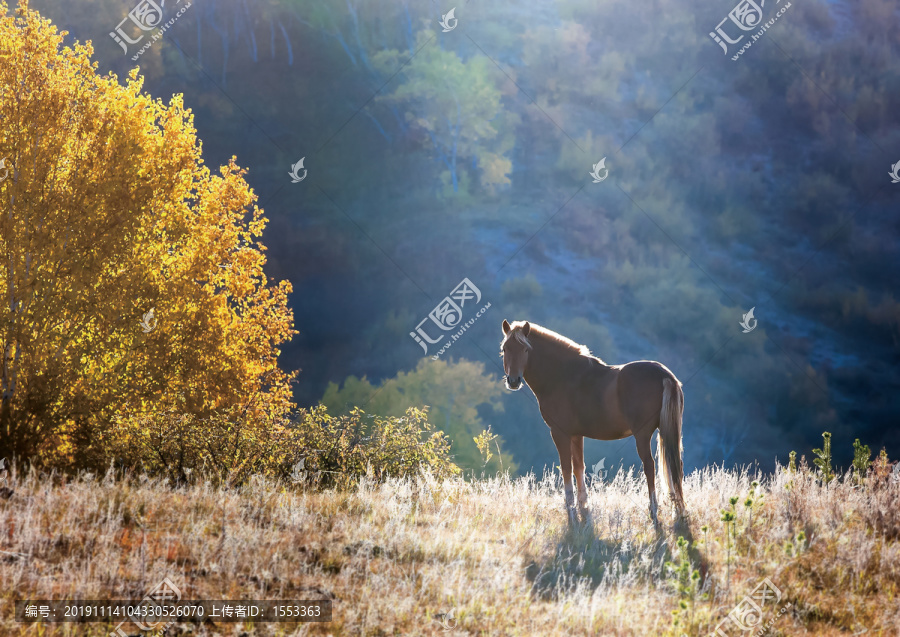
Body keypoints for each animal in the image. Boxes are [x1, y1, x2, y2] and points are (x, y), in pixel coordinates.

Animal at [500, 318, 684, 520]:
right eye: (505, 349)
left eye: (526, 350)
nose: (513, 381)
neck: (562, 375)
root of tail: (665, 375)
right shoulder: (576, 435)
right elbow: (579, 467)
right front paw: (583, 508)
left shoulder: (560, 433)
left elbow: (566, 468)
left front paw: (571, 510)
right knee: (673, 465)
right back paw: (678, 511)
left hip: (642, 434)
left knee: (650, 466)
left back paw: (653, 511)